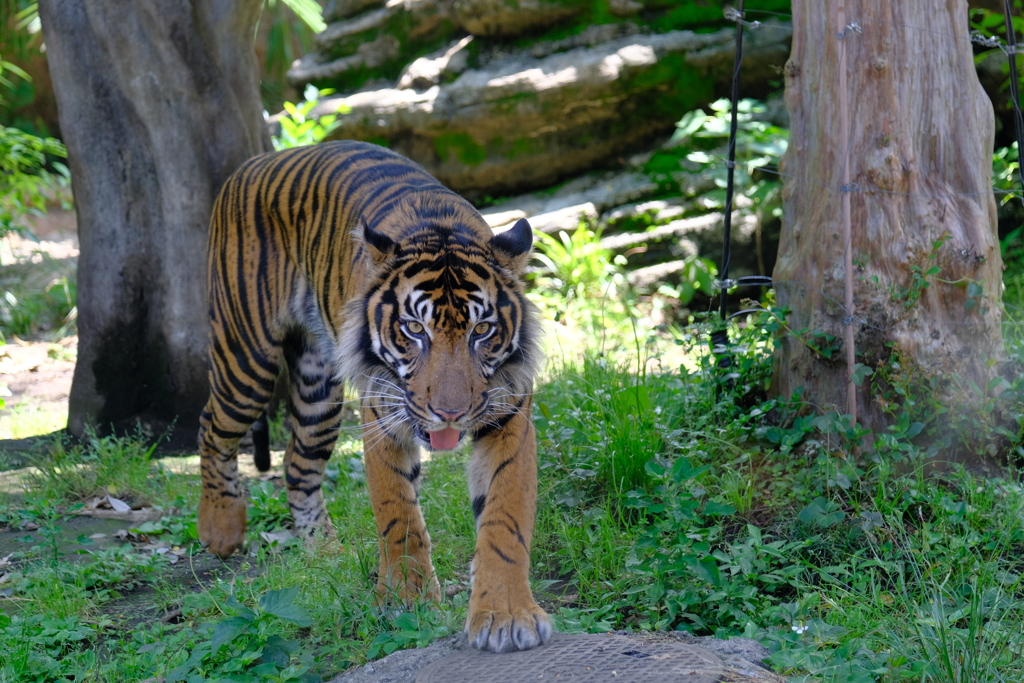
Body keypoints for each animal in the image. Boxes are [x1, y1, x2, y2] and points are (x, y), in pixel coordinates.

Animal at [196, 140, 557, 651]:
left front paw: (506, 616)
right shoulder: (382, 416)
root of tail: (253, 163)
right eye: (414, 329)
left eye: (482, 330)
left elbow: (505, 519)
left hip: (319, 392)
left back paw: (325, 551)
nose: (450, 413)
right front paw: (408, 601)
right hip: (244, 357)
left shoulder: (508, 417)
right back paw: (220, 529)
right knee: (212, 428)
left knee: (298, 465)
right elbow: (399, 515)